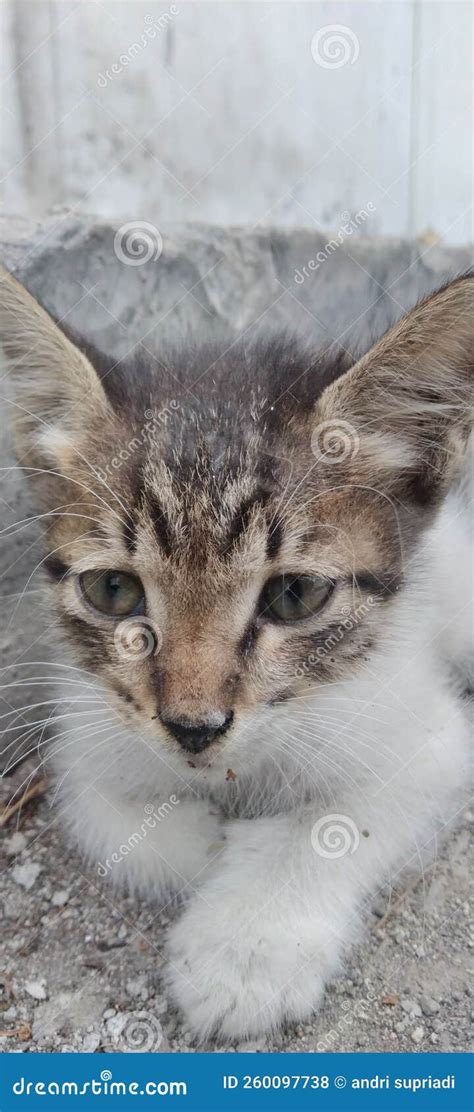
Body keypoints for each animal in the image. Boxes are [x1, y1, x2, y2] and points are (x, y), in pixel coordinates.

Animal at [0, 269, 471, 1040]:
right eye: (113, 590)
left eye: (294, 596)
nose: (193, 727)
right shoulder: (87, 728)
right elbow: (105, 809)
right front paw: (207, 848)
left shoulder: (426, 735)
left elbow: (332, 821)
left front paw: (246, 949)